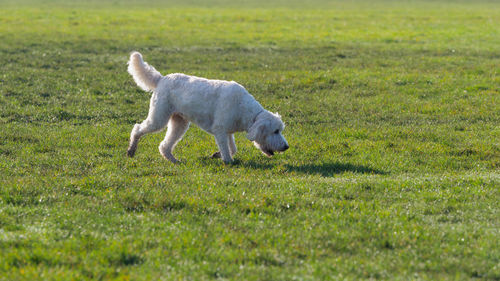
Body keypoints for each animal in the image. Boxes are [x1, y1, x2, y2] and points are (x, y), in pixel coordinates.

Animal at [126, 51, 290, 163]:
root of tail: (161, 79)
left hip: (179, 123)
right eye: (275, 131)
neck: (247, 112)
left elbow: (233, 148)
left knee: (164, 146)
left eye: (279, 130)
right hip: (158, 119)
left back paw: (174, 161)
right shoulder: (220, 131)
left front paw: (218, 155)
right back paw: (131, 150)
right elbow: (228, 151)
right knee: (137, 128)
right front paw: (227, 161)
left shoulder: (226, 131)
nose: (286, 147)